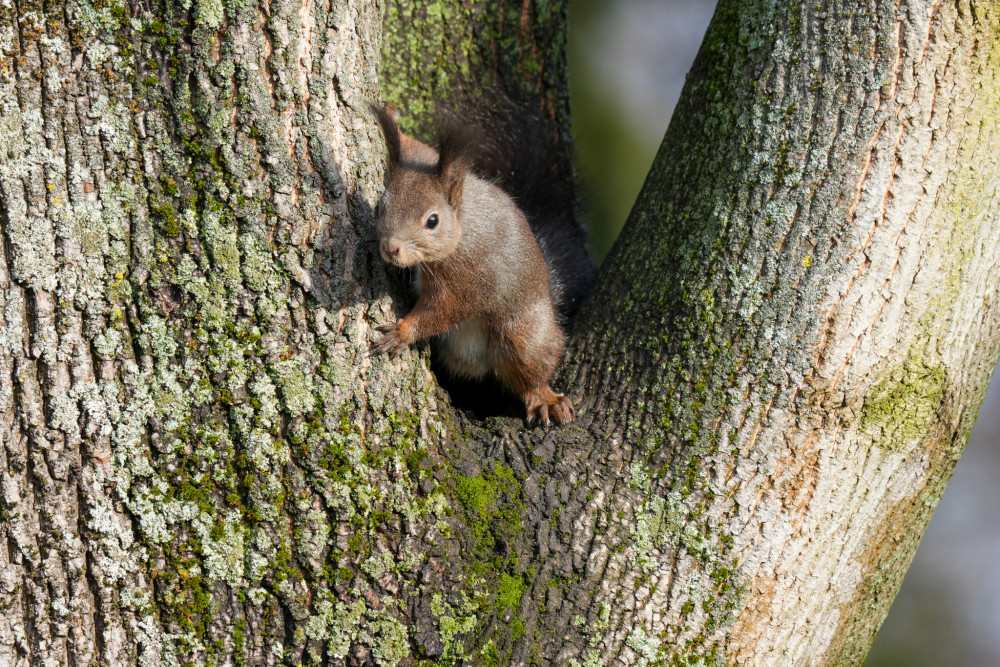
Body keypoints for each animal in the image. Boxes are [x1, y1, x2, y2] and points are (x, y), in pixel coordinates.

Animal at [372, 98, 596, 428]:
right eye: (380, 206)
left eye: (432, 221)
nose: (390, 248)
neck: (461, 228)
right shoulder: (424, 159)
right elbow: (420, 148)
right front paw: (393, 116)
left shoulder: (467, 278)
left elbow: (443, 311)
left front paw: (403, 332)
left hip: (521, 333)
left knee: (530, 371)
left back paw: (545, 398)